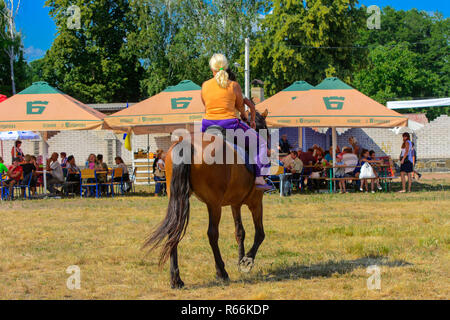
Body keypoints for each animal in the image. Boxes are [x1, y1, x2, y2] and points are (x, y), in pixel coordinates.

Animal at [146, 112, 268, 288]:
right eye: (265, 127)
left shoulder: (235, 204)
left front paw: (241, 260)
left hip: (177, 198)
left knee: (173, 230)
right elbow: (259, 233)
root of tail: (186, 144)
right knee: (212, 234)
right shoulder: (256, 202)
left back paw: (176, 278)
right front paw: (247, 260)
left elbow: (240, 232)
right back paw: (221, 272)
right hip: (214, 204)